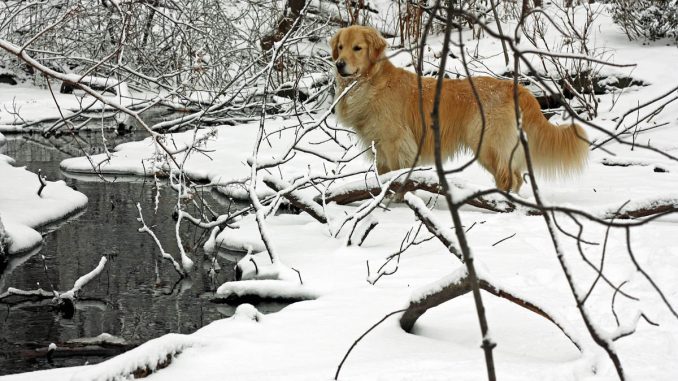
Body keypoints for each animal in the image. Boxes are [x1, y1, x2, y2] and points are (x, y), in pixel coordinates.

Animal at [330, 25, 588, 191]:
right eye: (340, 47)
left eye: (357, 48)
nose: (339, 64)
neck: (372, 82)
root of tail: (514, 87)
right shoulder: (380, 148)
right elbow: (384, 176)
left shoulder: (396, 143)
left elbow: (395, 176)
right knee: (516, 177)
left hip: (487, 144)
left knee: (509, 179)